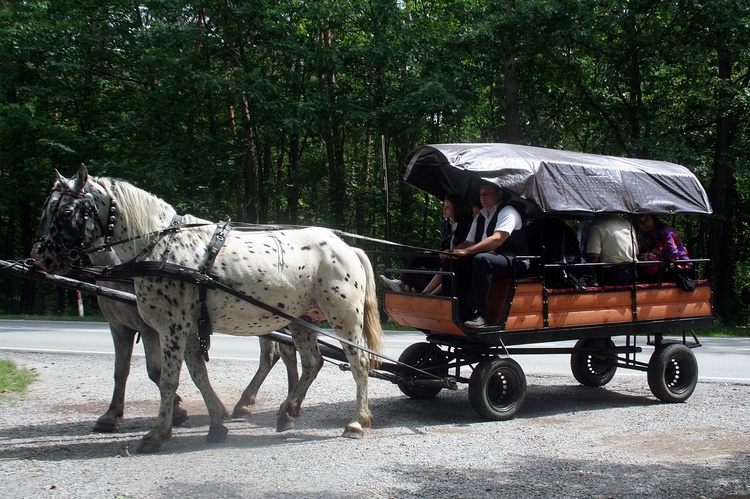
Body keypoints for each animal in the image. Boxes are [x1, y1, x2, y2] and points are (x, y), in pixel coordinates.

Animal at [30, 166, 384, 456]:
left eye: (65, 211)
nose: (40, 256)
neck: (159, 247)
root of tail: (346, 247)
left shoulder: (170, 327)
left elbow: (169, 379)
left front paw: (158, 433)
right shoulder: (184, 328)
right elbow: (197, 375)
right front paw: (216, 423)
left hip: (343, 317)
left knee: (358, 363)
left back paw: (356, 421)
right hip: (301, 319)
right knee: (312, 362)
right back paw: (287, 412)